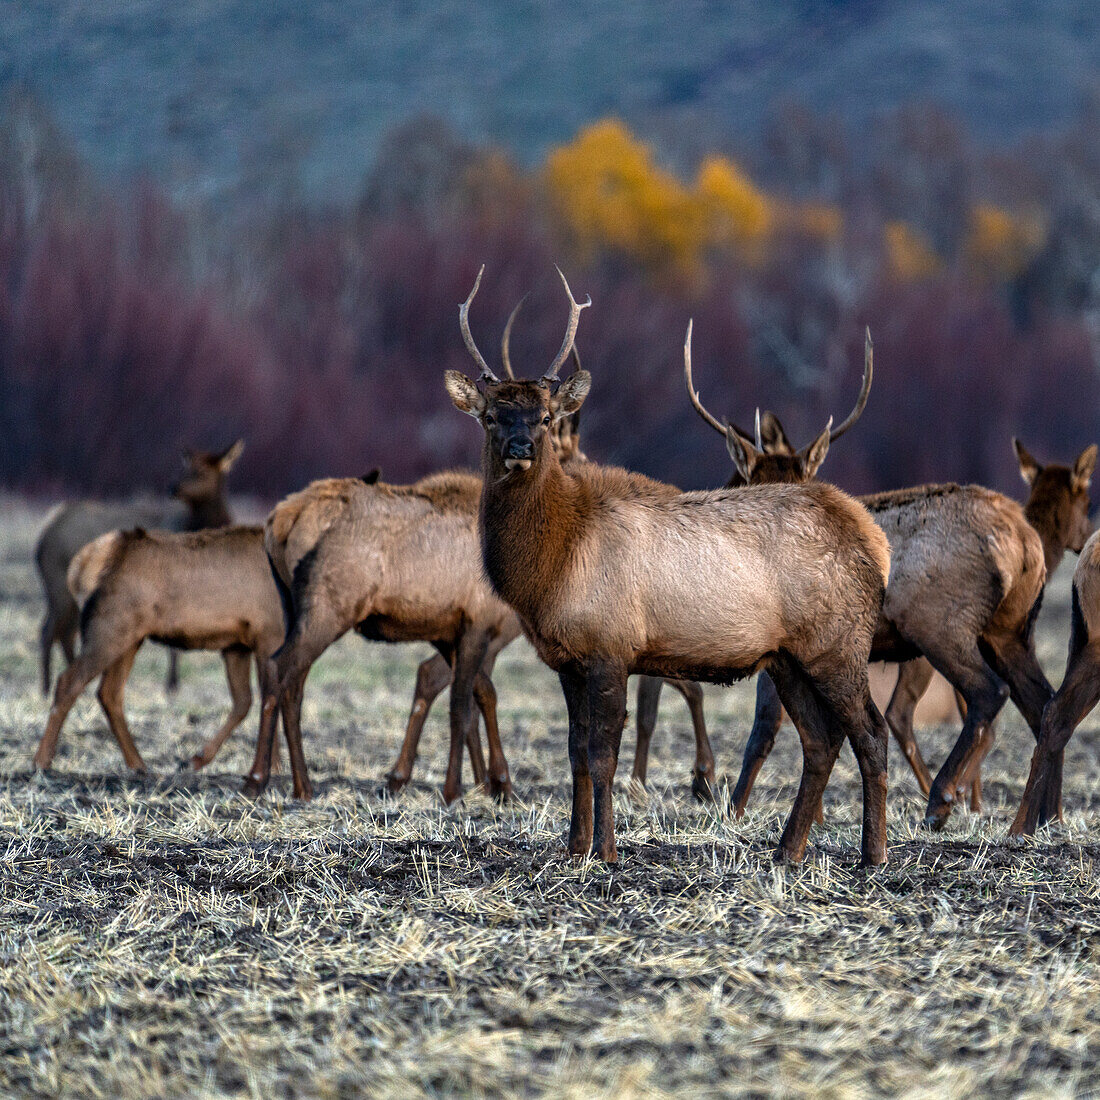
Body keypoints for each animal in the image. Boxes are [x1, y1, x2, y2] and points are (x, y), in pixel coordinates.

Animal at [32, 523, 286, 774]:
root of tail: (82, 564)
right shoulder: (268, 636)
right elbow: (266, 699)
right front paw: (267, 766)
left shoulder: (237, 645)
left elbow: (246, 701)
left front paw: (270, 765)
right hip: (108, 629)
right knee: (69, 681)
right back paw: (41, 761)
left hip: (130, 639)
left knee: (109, 693)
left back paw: (138, 764)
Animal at [33, 440, 243, 695]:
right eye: (185, 468)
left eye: (201, 472)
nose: (173, 488)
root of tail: (45, 531)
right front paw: (172, 685)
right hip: (58, 585)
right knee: (49, 631)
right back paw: (45, 688)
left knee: (64, 633)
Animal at [446, 268, 893, 866]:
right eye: (492, 415)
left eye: (543, 416)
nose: (520, 447)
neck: (553, 569)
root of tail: (877, 540)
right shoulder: (567, 660)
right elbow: (575, 753)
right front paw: (573, 847)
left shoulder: (610, 646)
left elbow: (603, 754)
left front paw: (607, 851)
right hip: (788, 657)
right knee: (820, 740)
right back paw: (786, 850)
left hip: (839, 643)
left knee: (871, 731)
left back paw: (873, 854)